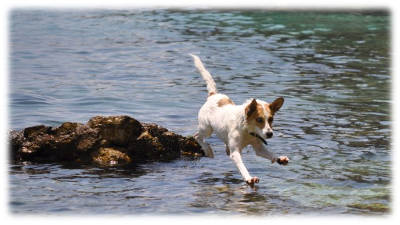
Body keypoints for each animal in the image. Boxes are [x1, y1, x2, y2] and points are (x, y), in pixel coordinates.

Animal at [190, 54, 288, 186]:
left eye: (271, 119)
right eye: (259, 119)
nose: (270, 134)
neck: (247, 130)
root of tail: (213, 95)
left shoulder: (259, 147)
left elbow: (270, 153)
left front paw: (279, 159)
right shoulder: (236, 153)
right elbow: (242, 166)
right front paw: (249, 177)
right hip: (207, 129)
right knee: (197, 136)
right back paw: (208, 150)